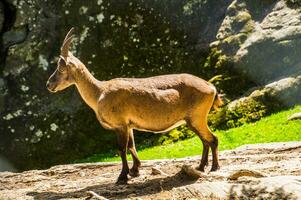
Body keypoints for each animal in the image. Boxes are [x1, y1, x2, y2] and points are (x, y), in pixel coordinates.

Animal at [45, 28, 221, 184]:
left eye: (61, 68)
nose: (48, 84)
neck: (99, 92)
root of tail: (210, 87)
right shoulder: (129, 125)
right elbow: (131, 145)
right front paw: (135, 170)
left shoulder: (120, 125)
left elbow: (122, 149)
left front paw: (122, 177)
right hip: (193, 120)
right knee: (205, 140)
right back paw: (201, 166)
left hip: (197, 117)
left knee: (212, 139)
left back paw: (214, 167)